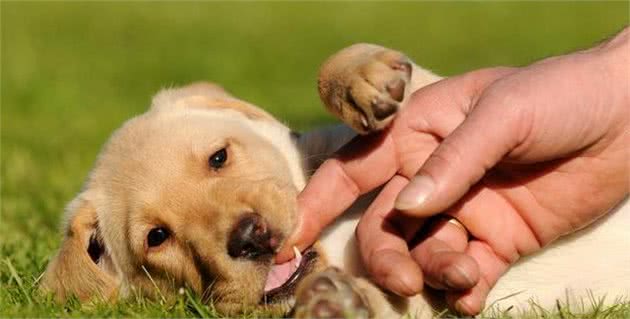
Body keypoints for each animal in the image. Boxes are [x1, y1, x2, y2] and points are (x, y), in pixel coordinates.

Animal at [42, 44, 628, 318]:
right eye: (157, 237)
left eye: (218, 158)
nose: (250, 240)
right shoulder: (430, 304)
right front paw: (333, 302)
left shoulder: (446, 108)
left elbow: (376, 81)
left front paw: (364, 79)